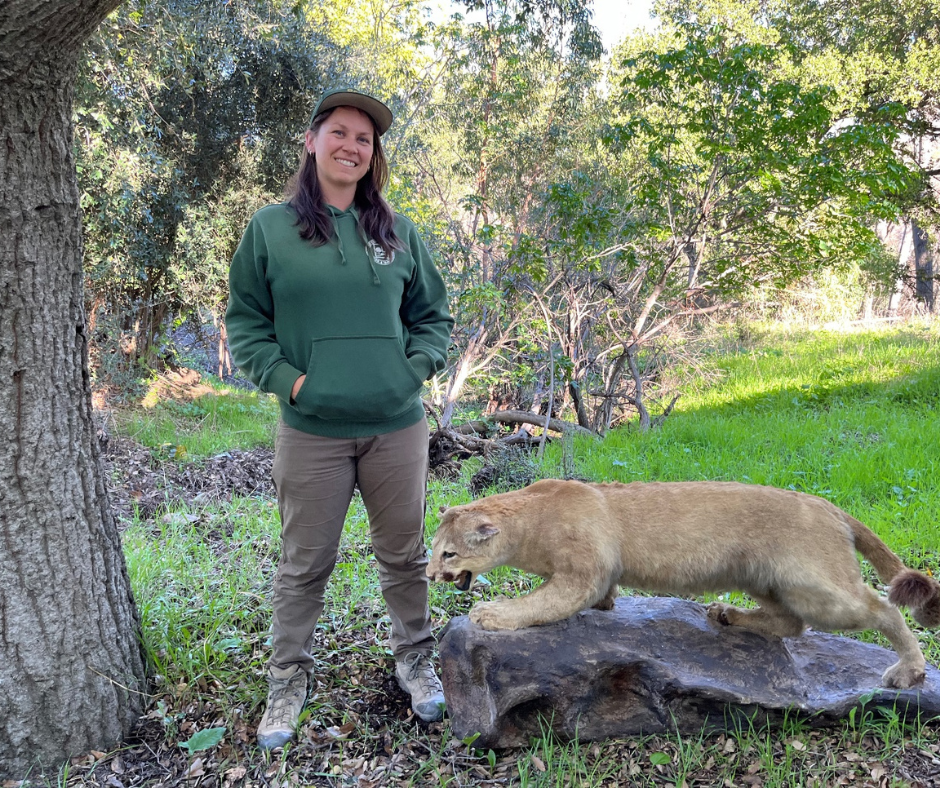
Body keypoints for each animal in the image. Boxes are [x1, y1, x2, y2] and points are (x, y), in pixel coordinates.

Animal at [428, 478, 940, 688]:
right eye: (432, 549)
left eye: (448, 552)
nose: (431, 575)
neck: (528, 519)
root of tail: (828, 505)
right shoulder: (595, 576)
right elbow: (599, 599)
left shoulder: (582, 573)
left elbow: (540, 602)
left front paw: (490, 614)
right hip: (766, 580)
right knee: (791, 624)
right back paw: (727, 615)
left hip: (818, 589)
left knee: (882, 609)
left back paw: (909, 671)